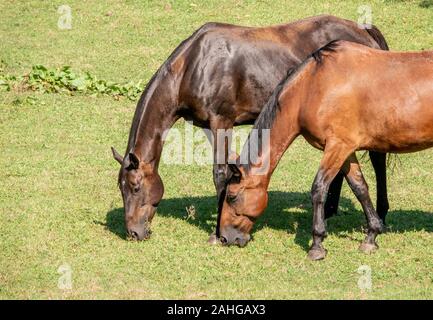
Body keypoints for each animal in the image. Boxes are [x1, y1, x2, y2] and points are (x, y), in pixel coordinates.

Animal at [110, 15, 388, 240]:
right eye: (121, 189)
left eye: (135, 187)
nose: (134, 232)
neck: (194, 65)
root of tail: (364, 30)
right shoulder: (208, 126)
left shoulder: (222, 121)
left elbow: (220, 173)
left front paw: (216, 233)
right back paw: (330, 210)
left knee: (378, 159)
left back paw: (381, 215)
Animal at [218, 40, 432, 260]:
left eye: (231, 197)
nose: (225, 238)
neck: (313, 87)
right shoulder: (346, 150)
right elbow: (360, 187)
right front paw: (371, 235)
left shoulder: (337, 146)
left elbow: (319, 188)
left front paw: (317, 244)